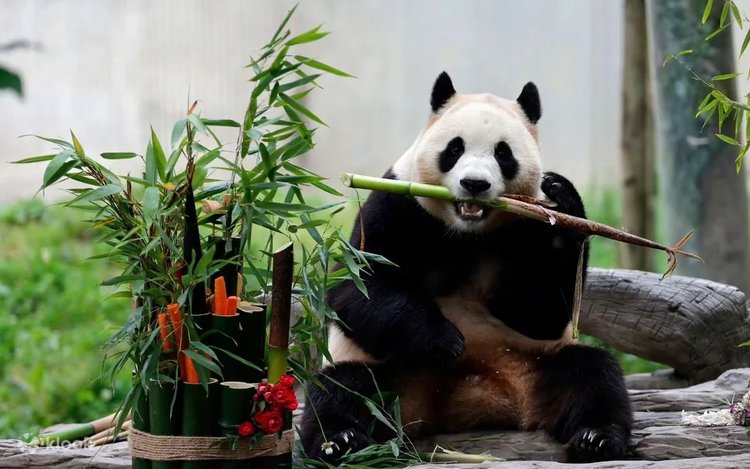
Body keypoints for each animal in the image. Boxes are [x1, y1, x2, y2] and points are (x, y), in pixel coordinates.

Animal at [300, 72, 632, 463]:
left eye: (503, 153)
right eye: (454, 149)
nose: (474, 184)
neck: (465, 230)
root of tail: (472, 398)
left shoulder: (524, 224)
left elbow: (540, 312)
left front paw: (562, 198)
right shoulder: (397, 204)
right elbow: (359, 285)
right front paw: (444, 340)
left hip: (536, 362)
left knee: (592, 374)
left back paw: (597, 437)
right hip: (386, 374)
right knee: (341, 388)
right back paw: (341, 441)